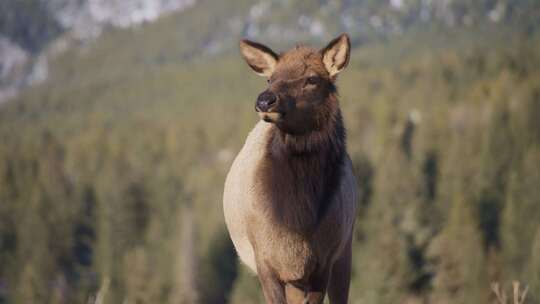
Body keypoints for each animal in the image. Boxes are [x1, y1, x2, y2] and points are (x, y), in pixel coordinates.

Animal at [221, 33, 356, 304]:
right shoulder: (265, 259)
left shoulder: (324, 260)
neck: (297, 220)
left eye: (312, 79)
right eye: (270, 78)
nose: (264, 100)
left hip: (345, 250)